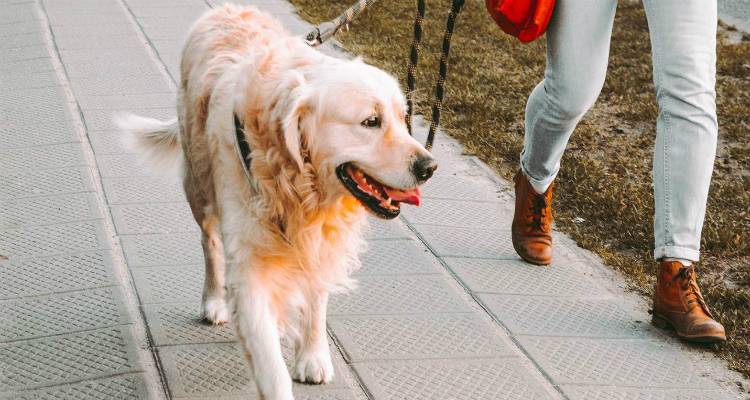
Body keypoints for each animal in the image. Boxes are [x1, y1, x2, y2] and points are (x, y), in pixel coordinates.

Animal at [115, 3, 438, 400]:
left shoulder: (319, 243)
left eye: (403, 117)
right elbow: (269, 362)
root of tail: (227, 8)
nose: (429, 167)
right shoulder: (250, 266)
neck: (298, 184)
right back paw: (213, 301)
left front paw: (313, 356)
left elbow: (316, 300)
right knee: (210, 243)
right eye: (371, 121)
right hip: (198, 185)